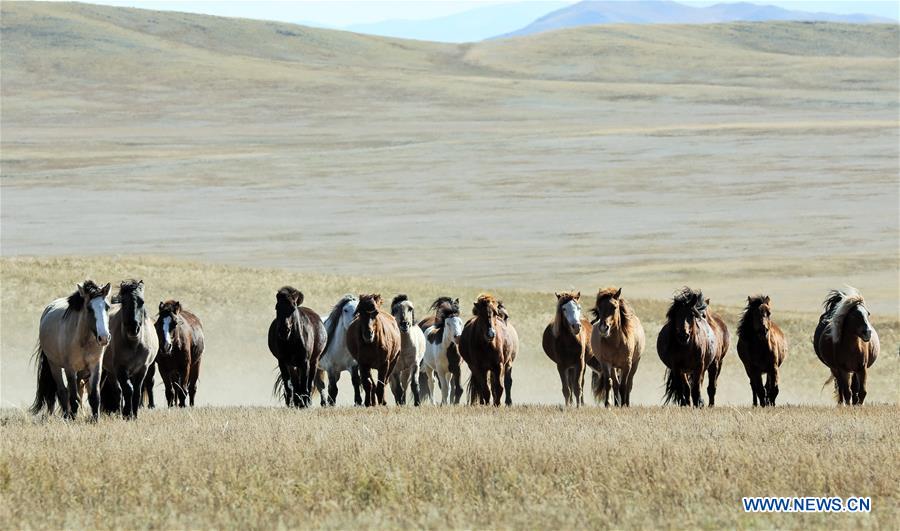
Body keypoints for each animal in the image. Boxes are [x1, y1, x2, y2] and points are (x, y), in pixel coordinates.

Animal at [30, 280, 112, 422]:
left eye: (107, 307)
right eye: (89, 308)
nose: (104, 338)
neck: (83, 340)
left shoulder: (95, 365)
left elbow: (94, 395)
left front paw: (95, 420)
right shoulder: (70, 368)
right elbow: (73, 396)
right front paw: (72, 419)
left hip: (81, 371)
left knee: (78, 389)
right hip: (54, 365)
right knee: (63, 391)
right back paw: (66, 415)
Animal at [101, 278, 159, 420]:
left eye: (142, 301)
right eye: (124, 301)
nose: (133, 328)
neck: (134, 344)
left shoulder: (142, 369)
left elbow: (137, 391)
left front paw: (134, 414)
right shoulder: (120, 369)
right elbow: (128, 390)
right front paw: (127, 413)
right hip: (110, 371)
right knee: (118, 391)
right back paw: (119, 411)